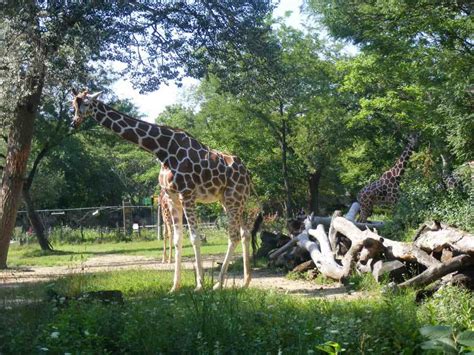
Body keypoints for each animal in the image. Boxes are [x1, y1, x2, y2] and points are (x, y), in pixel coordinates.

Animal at [71, 89, 254, 292]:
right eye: (73, 104)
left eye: (86, 104)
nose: (74, 122)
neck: (162, 150)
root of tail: (248, 173)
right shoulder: (172, 197)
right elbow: (178, 239)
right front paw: (175, 286)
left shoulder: (187, 194)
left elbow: (195, 237)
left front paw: (199, 285)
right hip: (230, 200)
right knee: (245, 232)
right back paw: (245, 282)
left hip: (233, 198)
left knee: (234, 235)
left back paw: (218, 284)